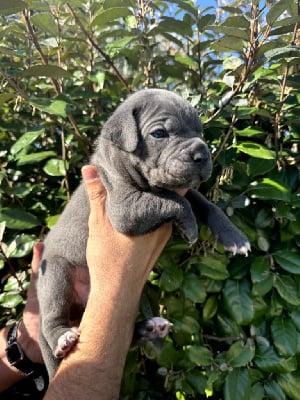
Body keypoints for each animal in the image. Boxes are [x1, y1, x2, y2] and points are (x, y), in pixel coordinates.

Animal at [36, 89, 250, 380]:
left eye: (200, 132)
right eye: (159, 134)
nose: (202, 154)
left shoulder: (183, 191)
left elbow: (205, 203)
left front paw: (235, 238)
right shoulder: (124, 208)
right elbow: (174, 201)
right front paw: (189, 226)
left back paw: (149, 328)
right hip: (55, 274)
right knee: (52, 318)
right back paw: (62, 337)